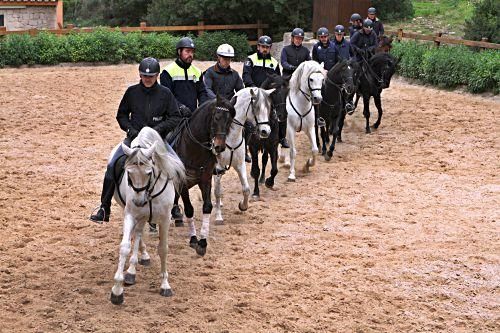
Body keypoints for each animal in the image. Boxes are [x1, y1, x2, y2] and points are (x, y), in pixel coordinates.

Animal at [109, 127, 186, 304]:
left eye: (149, 172)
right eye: (128, 173)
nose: (138, 201)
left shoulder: (165, 219)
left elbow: (163, 249)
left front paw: (165, 285)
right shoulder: (130, 214)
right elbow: (125, 246)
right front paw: (117, 289)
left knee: (138, 233)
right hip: (136, 214)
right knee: (137, 235)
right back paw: (133, 268)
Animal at [171, 94, 235, 255]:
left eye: (230, 121)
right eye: (216, 117)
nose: (219, 147)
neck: (194, 149)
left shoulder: (205, 180)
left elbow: (207, 207)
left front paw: (203, 242)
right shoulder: (183, 183)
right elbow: (189, 209)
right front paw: (193, 240)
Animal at [211, 87, 274, 224]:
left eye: (268, 107)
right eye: (256, 108)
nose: (265, 131)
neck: (230, 136)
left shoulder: (240, 165)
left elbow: (246, 189)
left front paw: (243, 206)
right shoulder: (218, 167)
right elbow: (217, 191)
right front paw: (218, 216)